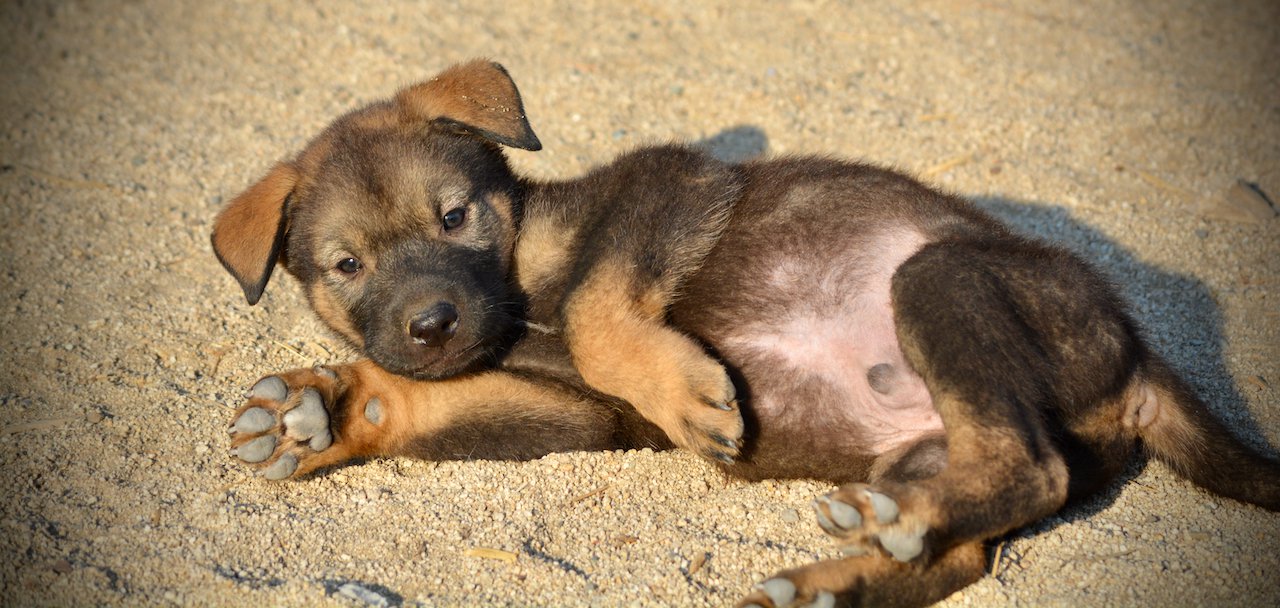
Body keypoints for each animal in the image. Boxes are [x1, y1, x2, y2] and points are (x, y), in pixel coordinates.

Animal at [212, 61, 1280, 608]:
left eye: (454, 215)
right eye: (346, 267)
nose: (433, 324)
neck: (516, 298)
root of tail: (1139, 355)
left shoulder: (669, 185)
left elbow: (597, 309)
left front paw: (691, 395)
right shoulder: (577, 413)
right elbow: (441, 405)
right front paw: (326, 408)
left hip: (941, 276)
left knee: (1032, 469)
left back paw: (889, 535)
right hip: (926, 441)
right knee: (970, 549)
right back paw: (836, 581)